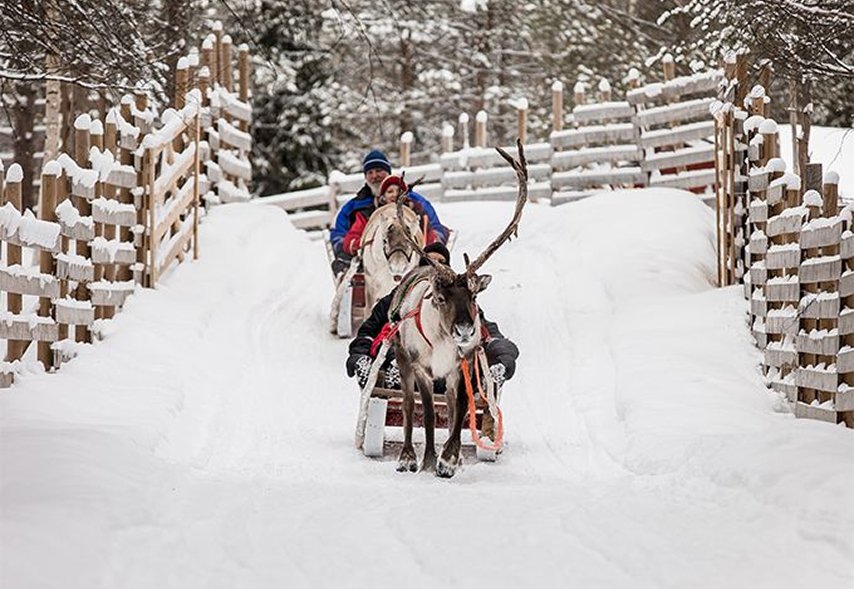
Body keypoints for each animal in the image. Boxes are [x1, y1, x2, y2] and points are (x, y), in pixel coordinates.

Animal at [386, 140, 527, 478]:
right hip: (402, 358)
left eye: (474, 297)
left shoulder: (462, 364)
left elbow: (460, 409)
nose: (465, 329)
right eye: (439, 298)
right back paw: (408, 457)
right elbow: (425, 414)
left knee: (450, 408)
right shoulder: (422, 369)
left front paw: (449, 460)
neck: (441, 342)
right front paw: (426, 461)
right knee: (409, 405)